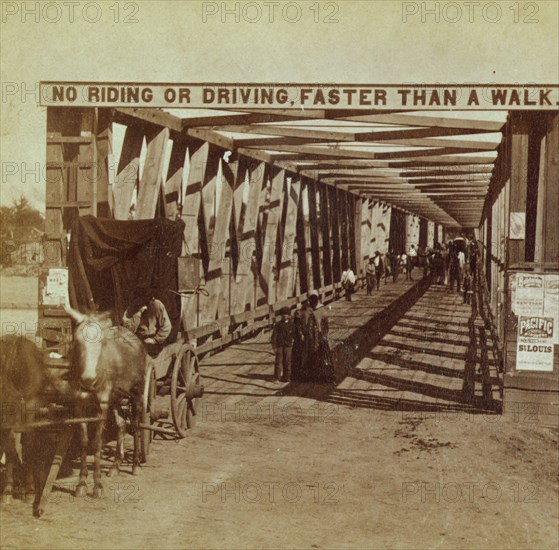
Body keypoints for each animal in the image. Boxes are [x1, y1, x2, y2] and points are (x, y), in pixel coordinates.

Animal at [65, 306, 147, 500]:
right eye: (77, 341)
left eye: (102, 342)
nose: (89, 380)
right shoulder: (79, 405)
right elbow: (84, 441)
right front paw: (81, 483)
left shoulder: (101, 406)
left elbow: (97, 442)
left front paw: (97, 485)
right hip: (116, 398)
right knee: (122, 425)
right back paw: (115, 465)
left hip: (137, 394)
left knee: (136, 425)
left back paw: (135, 464)